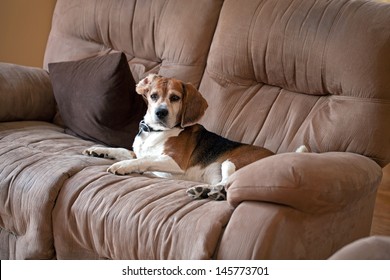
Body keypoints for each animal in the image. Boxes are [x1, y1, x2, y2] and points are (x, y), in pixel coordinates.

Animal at [84, 75, 308, 199]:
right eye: (153, 96)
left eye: (175, 98)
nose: (161, 112)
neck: (155, 132)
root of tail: (277, 155)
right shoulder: (138, 152)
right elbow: (124, 151)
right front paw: (99, 151)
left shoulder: (174, 162)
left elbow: (144, 160)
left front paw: (123, 167)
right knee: (222, 185)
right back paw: (204, 191)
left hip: (231, 161)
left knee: (228, 183)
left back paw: (206, 191)